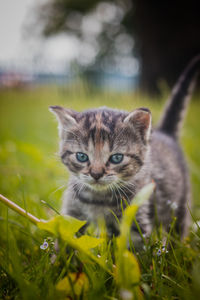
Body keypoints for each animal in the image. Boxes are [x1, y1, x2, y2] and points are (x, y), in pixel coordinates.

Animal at [49, 54, 200, 241]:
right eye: (81, 156)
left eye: (116, 158)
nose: (96, 174)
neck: (98, 198)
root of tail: (165, 133)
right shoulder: (72, 215)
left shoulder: (136, 219)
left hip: (180, 205)